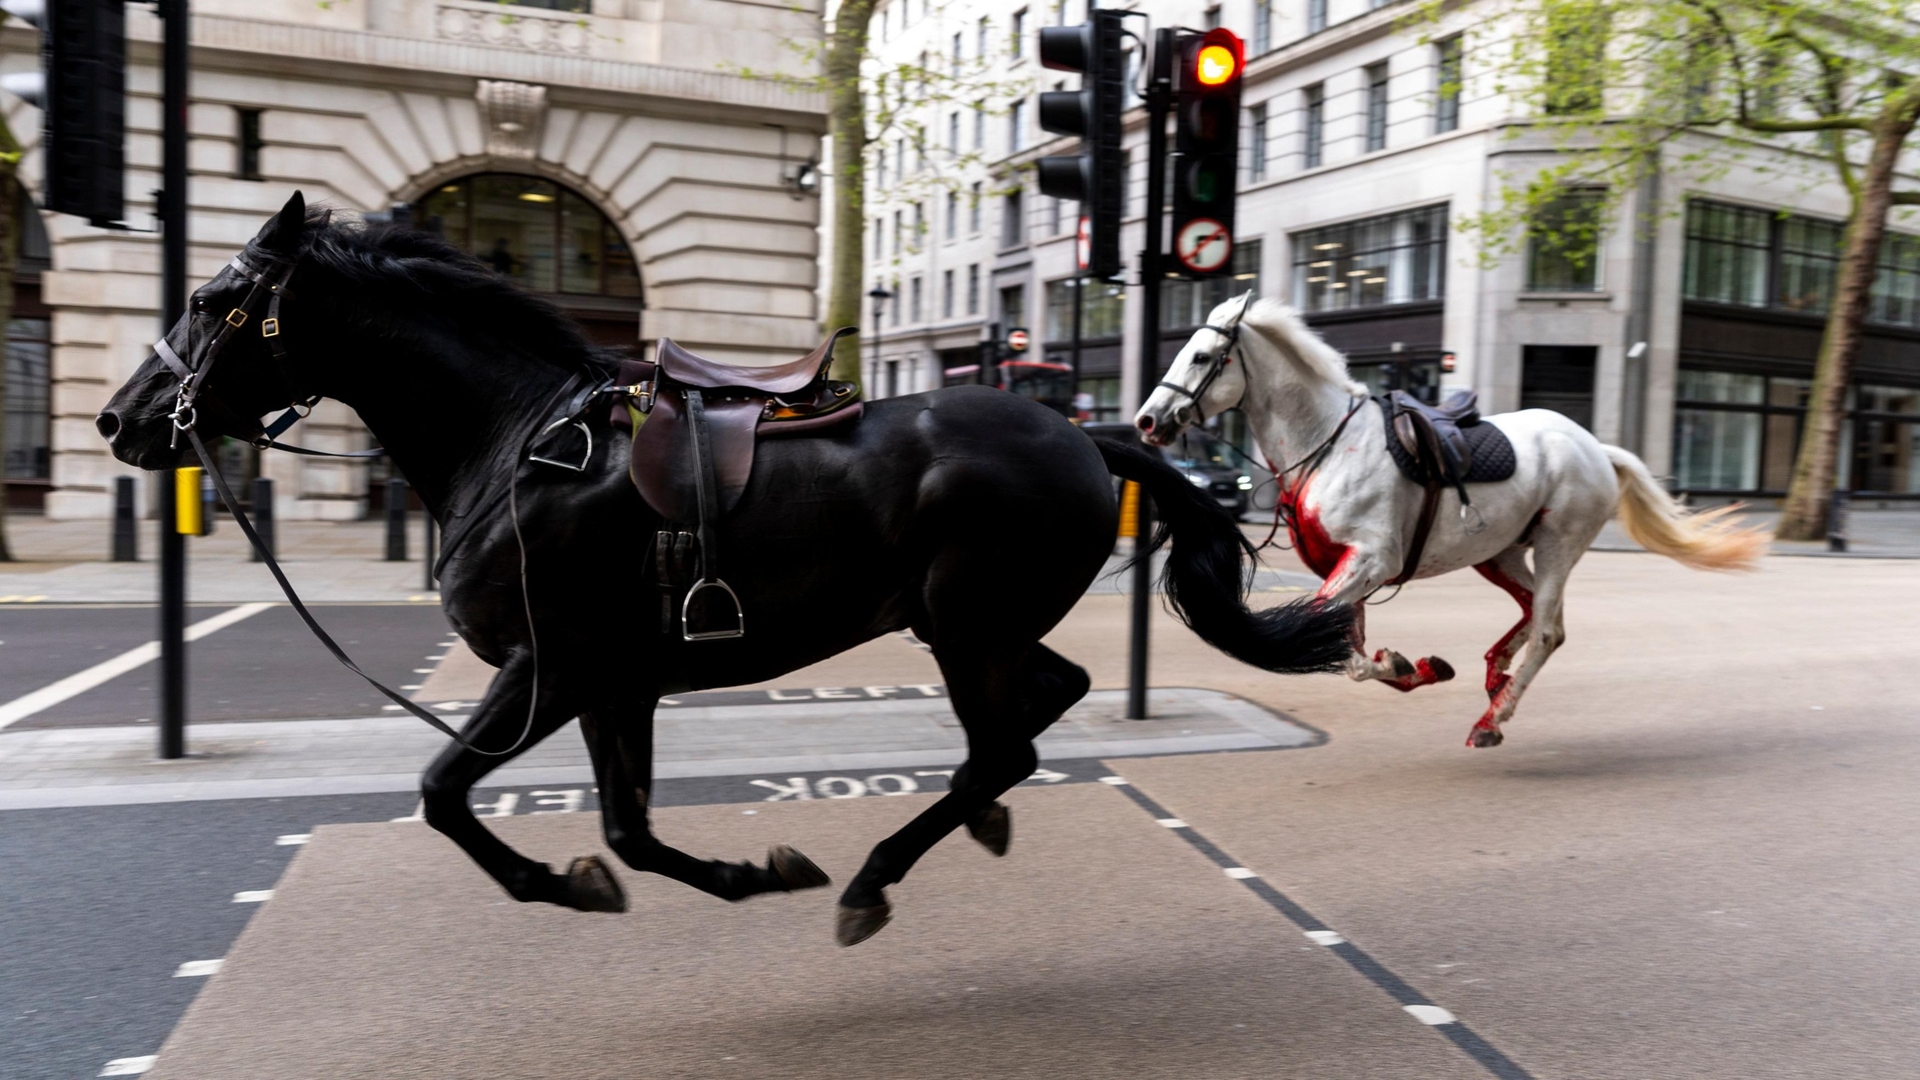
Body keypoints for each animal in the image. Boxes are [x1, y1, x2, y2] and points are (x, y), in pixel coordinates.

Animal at [93, 191, 1351, 941]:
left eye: (210, 299)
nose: (120, 420)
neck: (516, 442)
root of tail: (1085, 434)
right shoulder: (615, 683)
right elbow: (628, 830)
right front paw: (738, 874)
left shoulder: (550, 668)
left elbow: (446, 793)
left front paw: (559, 883)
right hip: (972, 625)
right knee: (1043, 707)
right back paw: (967, 823)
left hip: (963, 625)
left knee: (1007, 741)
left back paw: (877, 876)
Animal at [1128, 297, 1758, 745]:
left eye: (1202, 357)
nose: (1148, 421)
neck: (1328, 443)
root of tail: (1595, 447)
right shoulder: (1349, 568)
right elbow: (1346, 647)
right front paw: (1414, 665)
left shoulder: (1371, 559)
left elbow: (1335, 643)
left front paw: (1404, 663)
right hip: (1500, 552)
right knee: (1536, 612)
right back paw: (1496, 675)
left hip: (1559, 542)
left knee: (1548, 629)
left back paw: (1492, 719)